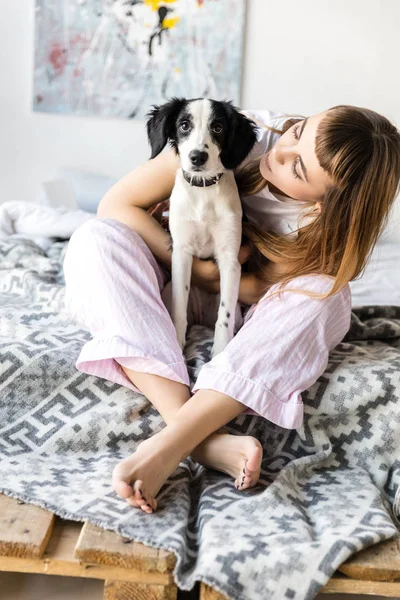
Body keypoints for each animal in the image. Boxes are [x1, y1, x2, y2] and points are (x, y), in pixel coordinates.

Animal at [146, 98, 256, 356]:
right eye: (184, 125)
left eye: (218, 127)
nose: (198, 157)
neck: (203, 190)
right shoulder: (181, 252)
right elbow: (179, 305)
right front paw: (177, 343)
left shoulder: (230, 258)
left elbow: (224, 314)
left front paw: (220, 350)